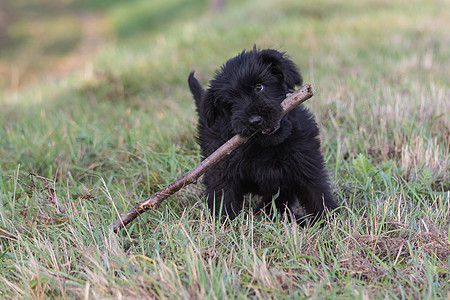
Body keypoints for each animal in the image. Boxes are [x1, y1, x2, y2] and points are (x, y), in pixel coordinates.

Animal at [186, 47, 338, 223]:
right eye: (230, 103)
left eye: (259, 86)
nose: (255, 121)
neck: (267, 147)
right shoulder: (221, 171)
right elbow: (223, 197)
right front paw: (225, 225)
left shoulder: (306, 161)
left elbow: (317, 192)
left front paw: (332, 219)